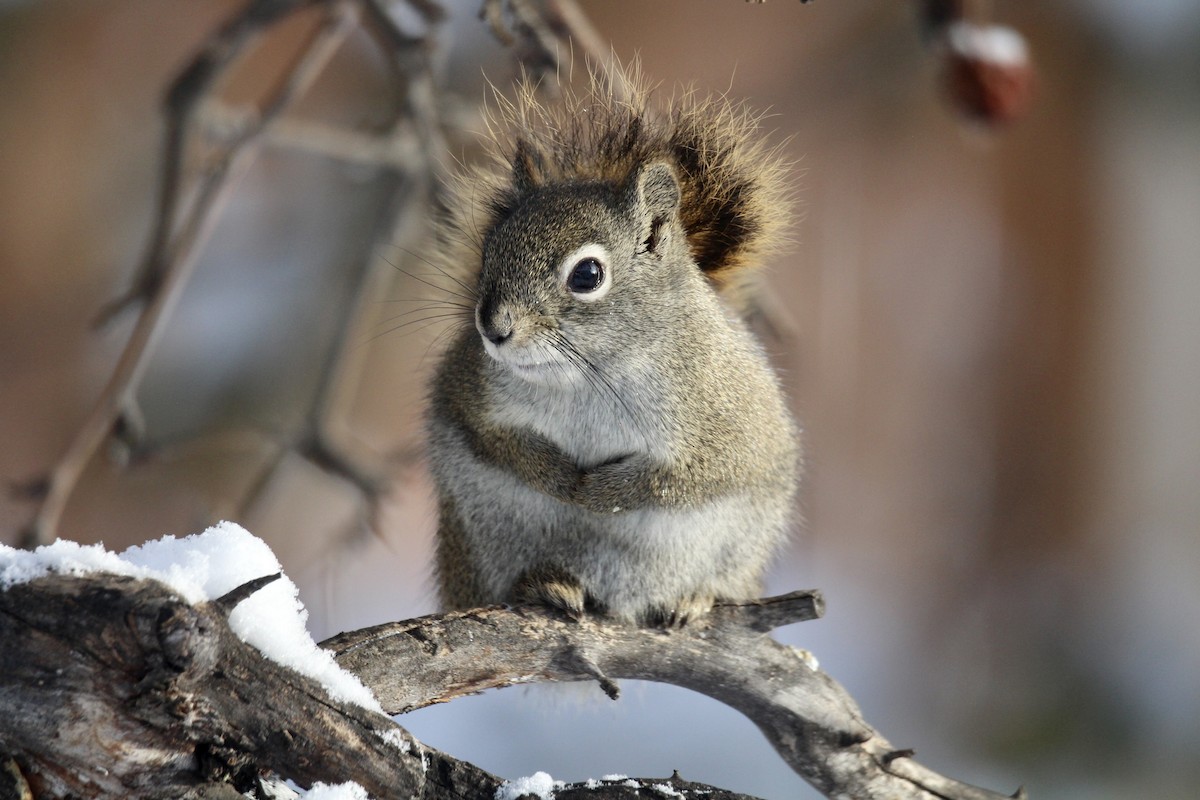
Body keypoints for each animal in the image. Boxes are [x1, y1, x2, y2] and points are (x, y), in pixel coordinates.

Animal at [425, 65, 800, 625]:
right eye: (490, 251)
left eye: (587, 274)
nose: (493, 328)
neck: (590, 375)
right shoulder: (469, 392)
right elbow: (494, 439)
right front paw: (559, 478)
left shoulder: (728, 429)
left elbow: (685, 479)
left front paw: (599, 493)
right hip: (475, 544)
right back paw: (545, 583)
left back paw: (695, 598)